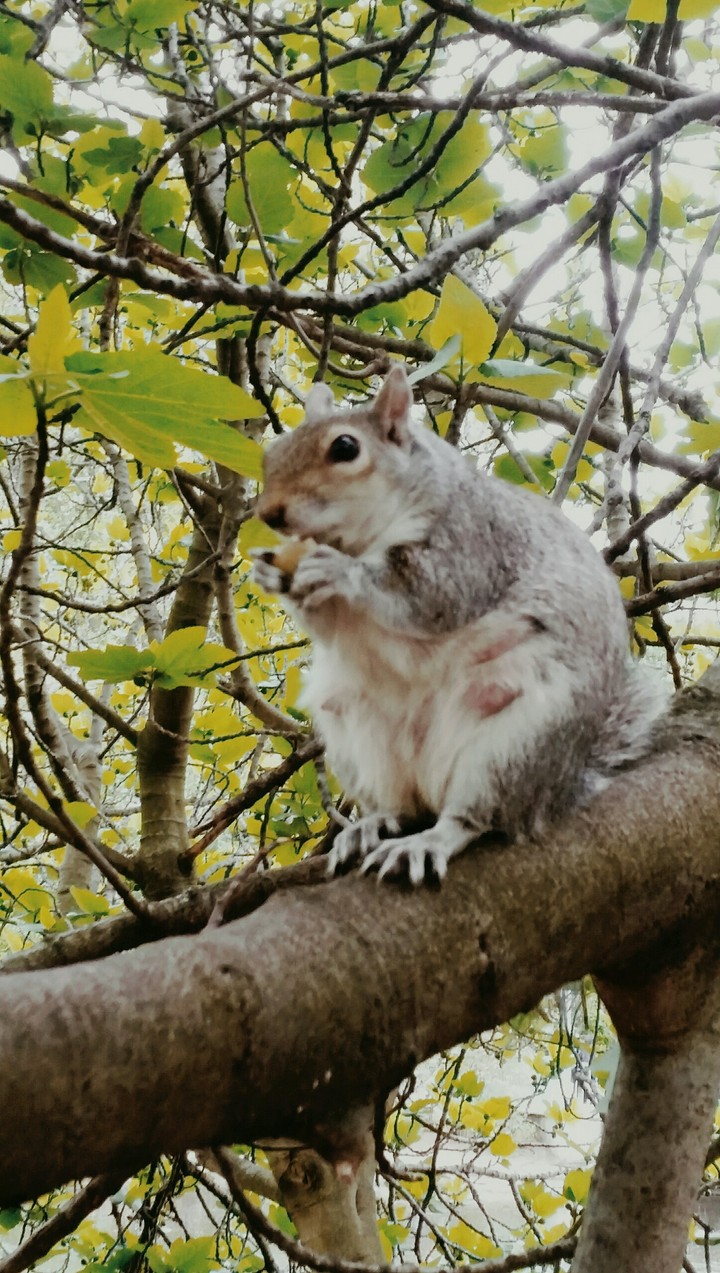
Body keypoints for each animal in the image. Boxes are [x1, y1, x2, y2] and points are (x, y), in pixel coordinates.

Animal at [253, 364, 662, 886]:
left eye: (345, 447)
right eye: (272, 453)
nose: (269, 513)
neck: (361, 537)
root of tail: (562, 785)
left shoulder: (473, 545)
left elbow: (434, 599)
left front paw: (344, 573)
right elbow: (329, 628)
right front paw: (271, 574)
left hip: (517, 743)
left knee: (475, 816)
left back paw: (430, 839)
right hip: (353, 733)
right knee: (399, 806)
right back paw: (371, 825)